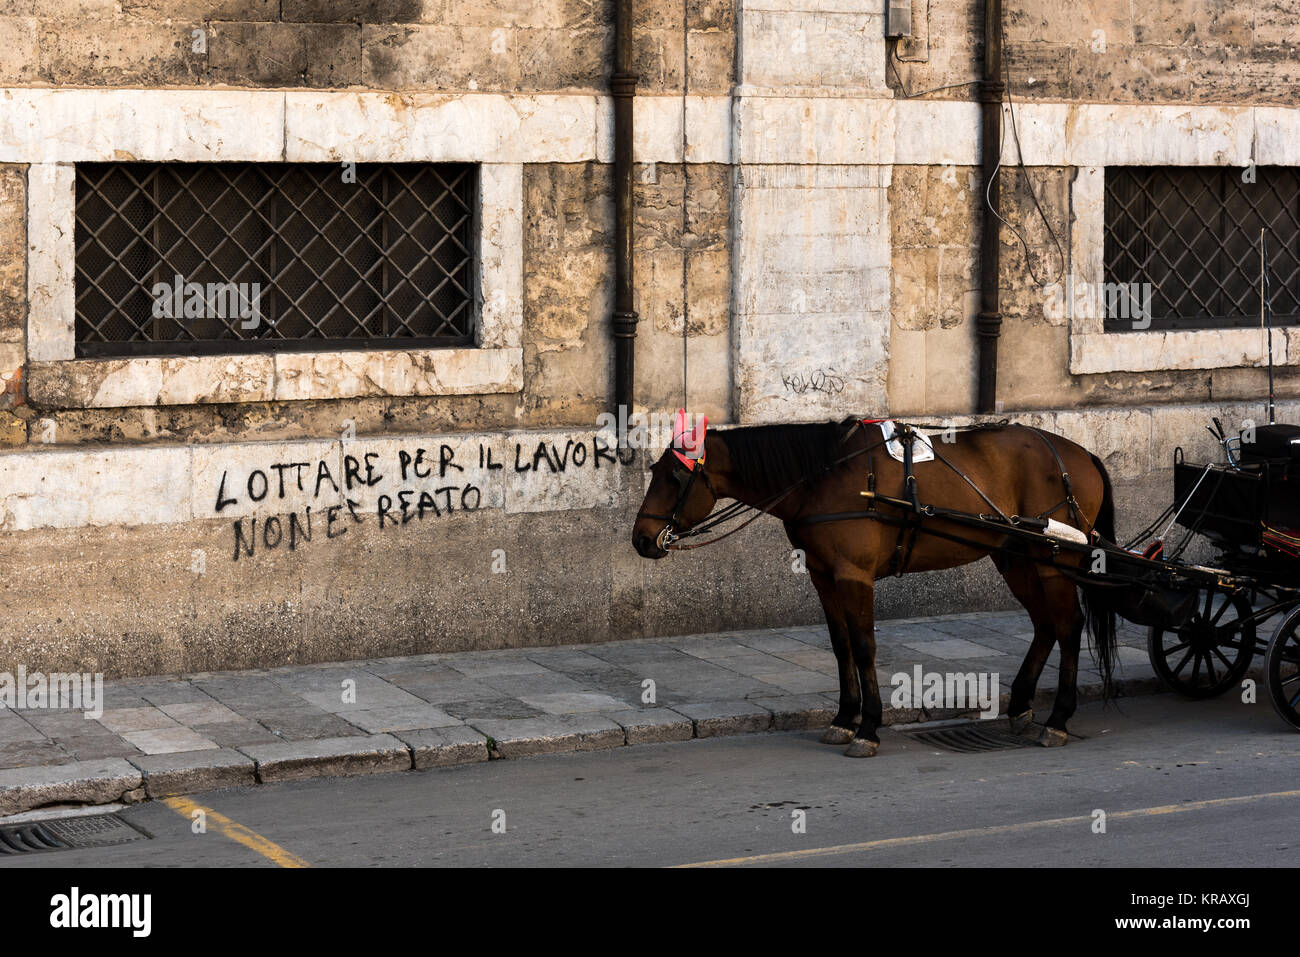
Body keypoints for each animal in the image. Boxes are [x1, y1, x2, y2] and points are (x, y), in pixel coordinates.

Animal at [632, 413, 1120, 758]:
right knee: (1045, 625)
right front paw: (845, 717)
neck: (821, 477)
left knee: (1068, 626)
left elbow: (864, 646)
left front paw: (867, 727)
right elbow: (841, 645)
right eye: (655, 470)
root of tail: (1082, 455)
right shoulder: (824, 576)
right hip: (1016, 558)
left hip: (1053, 561)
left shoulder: (854, 575)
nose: (640, 538)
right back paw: (1020, 705)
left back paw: (1059, 718)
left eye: (675, 477)